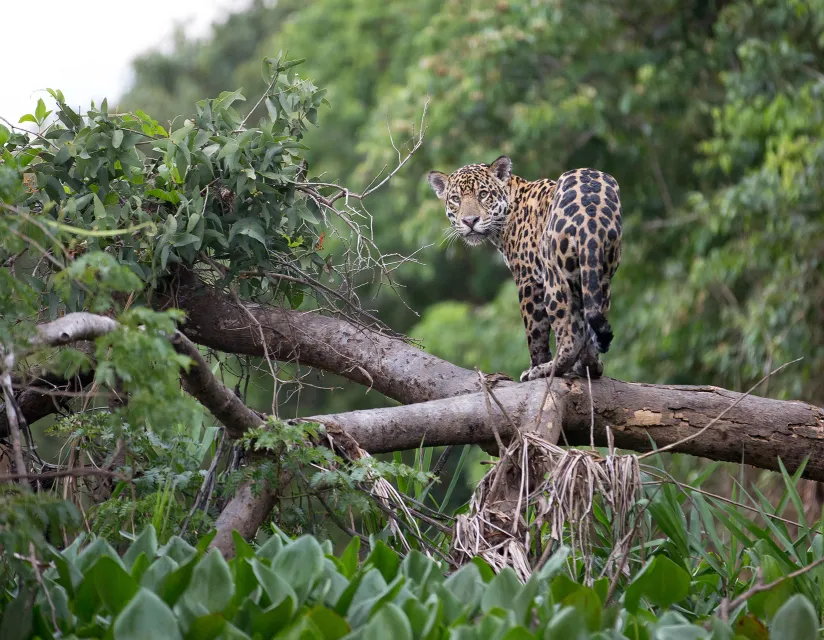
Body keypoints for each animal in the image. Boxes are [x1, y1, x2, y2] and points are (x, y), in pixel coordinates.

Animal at [427, 155, 622, 382]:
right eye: (456, 199)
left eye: (483, 194)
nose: (469, 221)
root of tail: (591, 211)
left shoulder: (528, 280)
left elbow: (535, 333)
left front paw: (534, 366)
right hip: (599, 275)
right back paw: (589, 366)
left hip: (554, 279)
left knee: (571, 336)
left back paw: (547, 369)